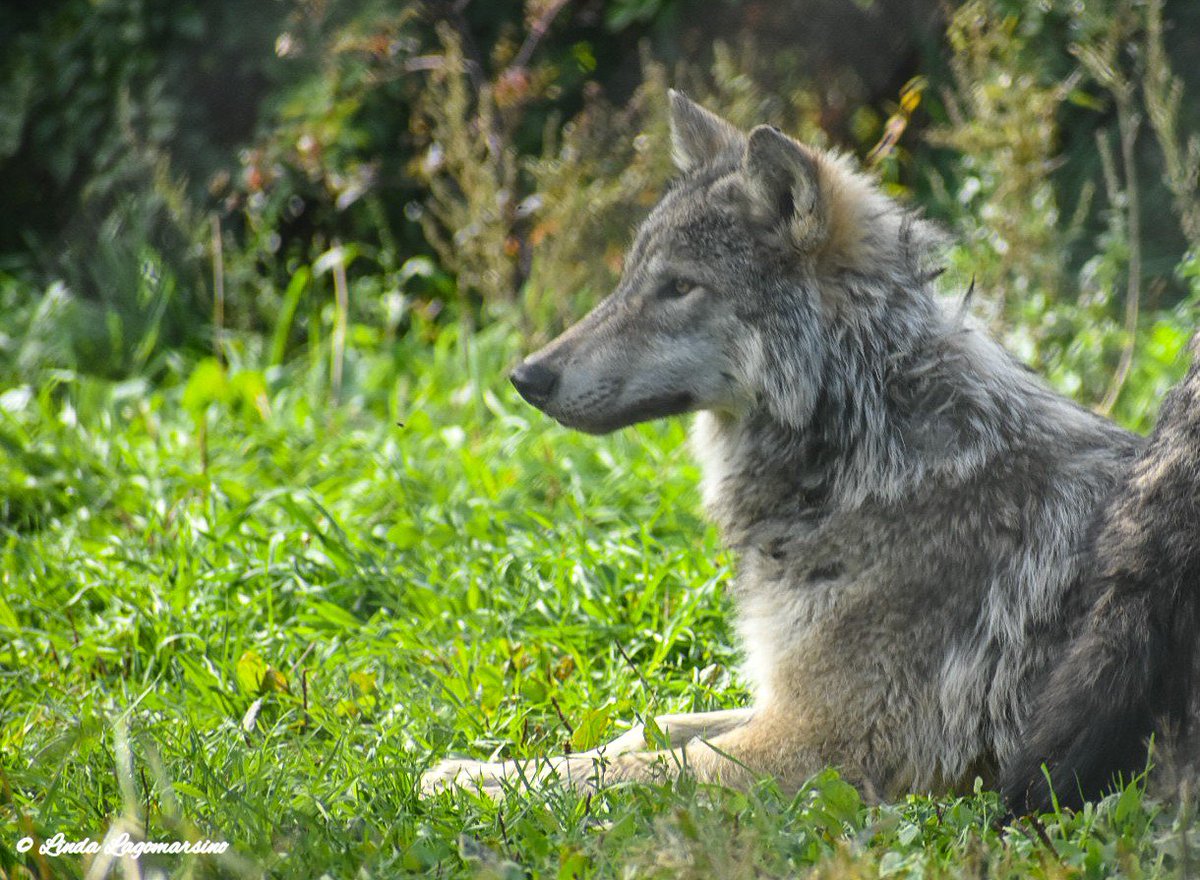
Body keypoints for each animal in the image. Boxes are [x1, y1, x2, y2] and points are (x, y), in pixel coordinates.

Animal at [421, 91, 1199, 805]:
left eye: (680, 287)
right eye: (630, 278)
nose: (528, 377)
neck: (867, 452)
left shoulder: (816, 745)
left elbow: (628, 772)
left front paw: (465, 783)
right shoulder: (778, 704)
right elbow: (646, 730)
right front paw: (479, 767)